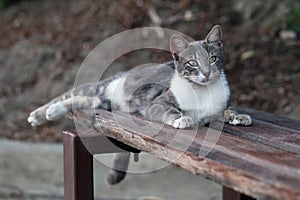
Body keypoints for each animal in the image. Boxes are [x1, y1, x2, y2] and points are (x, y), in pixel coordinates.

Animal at [27, 25, 251, 185]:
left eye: (213, 58)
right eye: (192, 63)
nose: (206, 73)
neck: (203, 92)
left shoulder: (223, 103)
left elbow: (229, 109)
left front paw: (239, 116)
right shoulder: (159, 102)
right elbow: (170, 111)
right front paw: (181, 119)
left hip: (103, 101)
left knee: (80, 100)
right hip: (100, 89)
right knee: (71, 95)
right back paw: (42, 113)